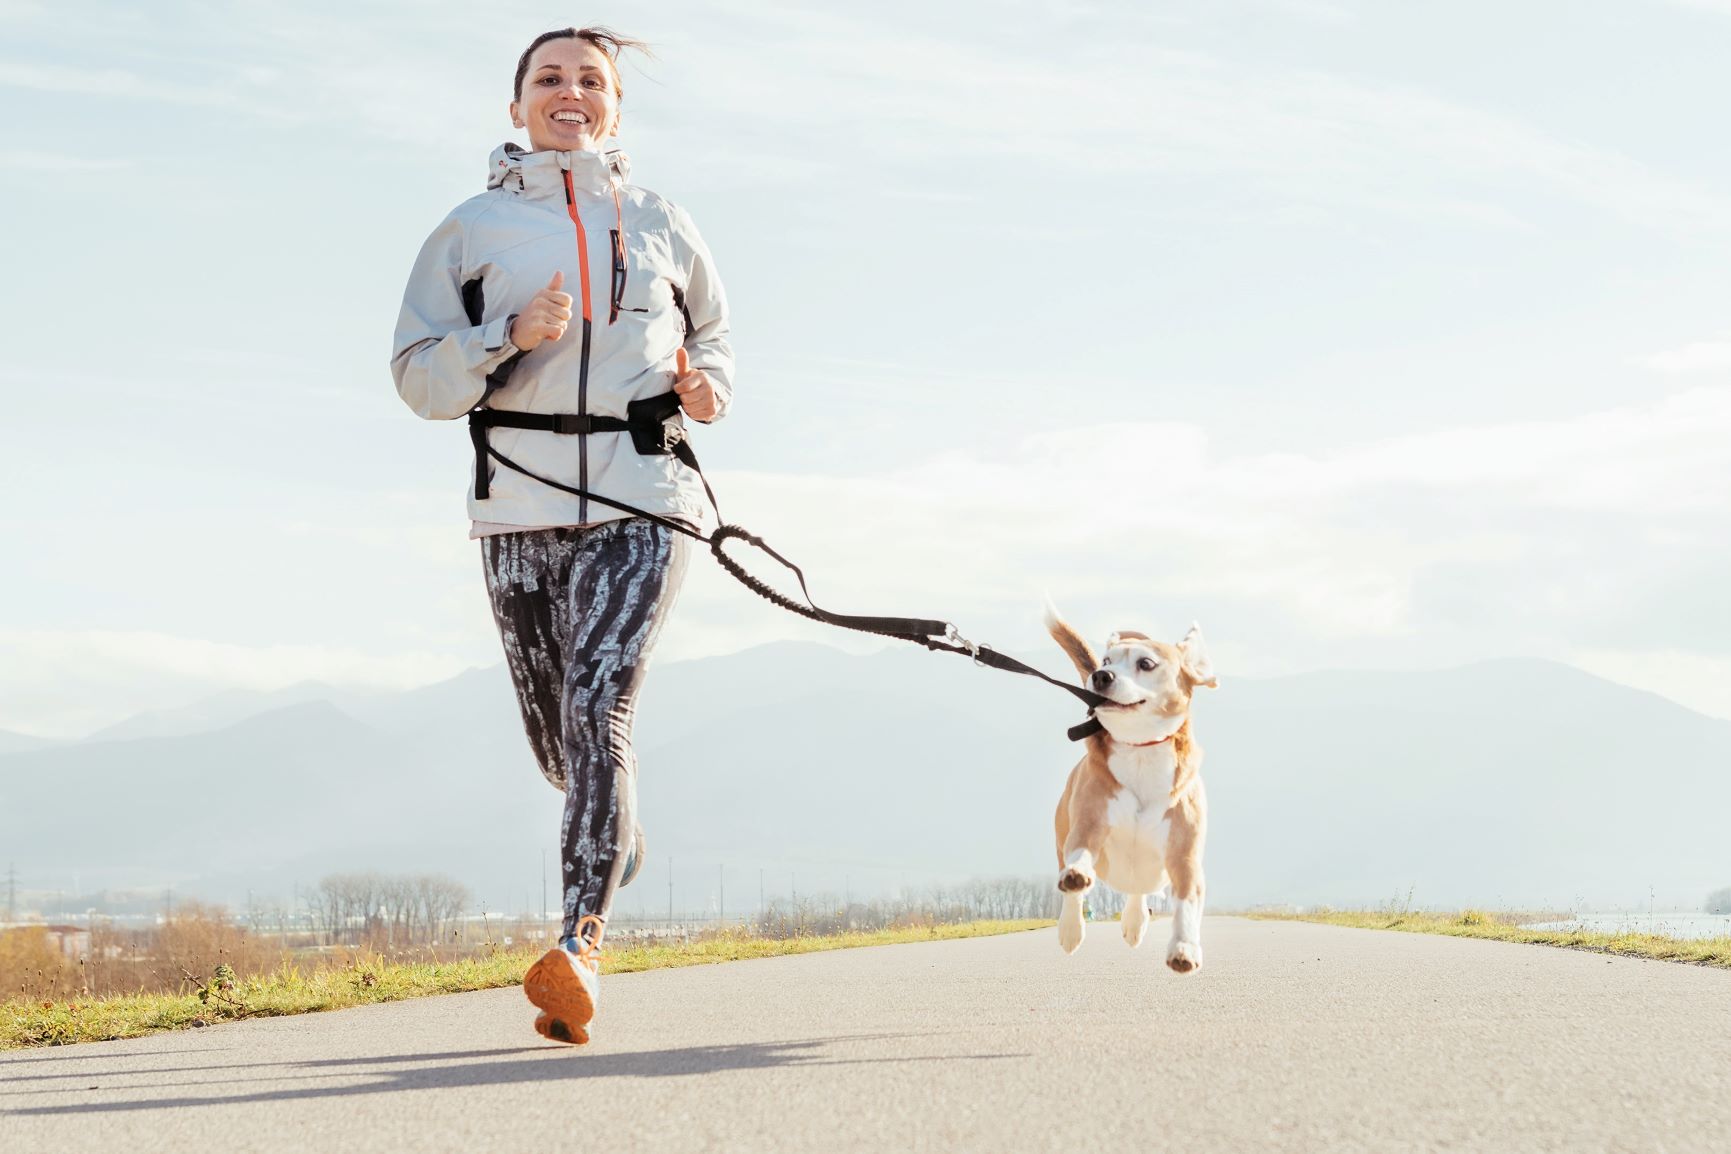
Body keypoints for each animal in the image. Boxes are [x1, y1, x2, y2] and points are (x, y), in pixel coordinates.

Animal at [1038, 605, 1218, 975]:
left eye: (1145, 663)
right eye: (1107, 660)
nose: (1100, 675)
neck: (1140, 751)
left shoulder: (1185, 856)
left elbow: (1186, 904)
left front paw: (1184, 948)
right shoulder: (1088, 825)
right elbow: (1079, 859)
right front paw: (1077, 878)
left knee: (1139, 892)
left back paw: (1135, 921)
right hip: (1062, 836)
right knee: (1073, 892)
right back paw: (1070, 928)